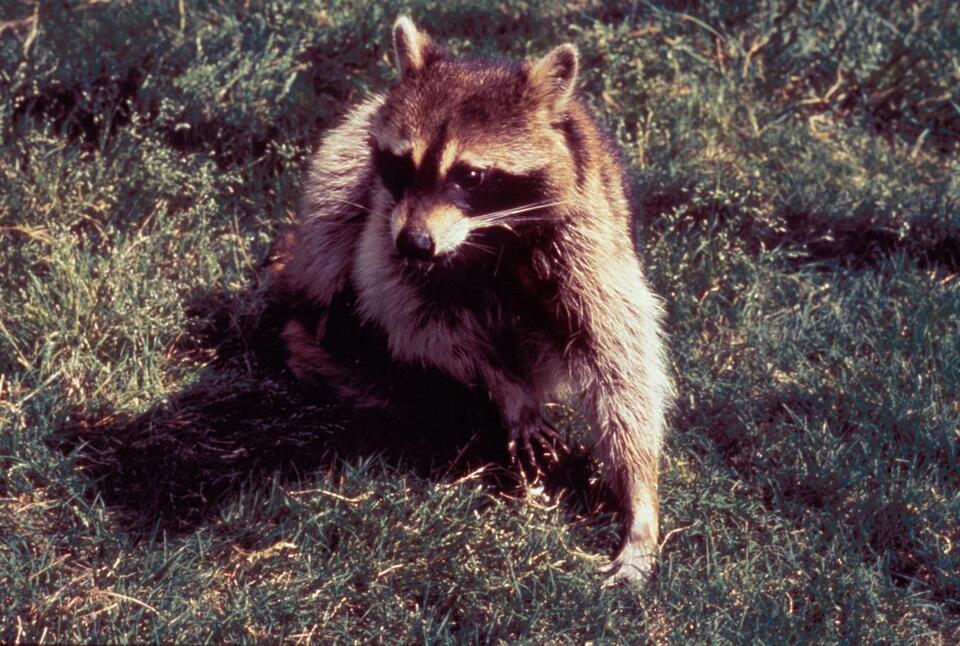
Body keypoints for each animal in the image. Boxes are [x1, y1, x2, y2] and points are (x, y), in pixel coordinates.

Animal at [269, 17, 674, 584]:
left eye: (472, 176)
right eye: (402, 164)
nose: (416, 244)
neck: (482, 236)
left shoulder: (586, 239)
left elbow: (620, 360)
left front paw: (639, 495)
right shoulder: (385, 227)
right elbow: (412, 318)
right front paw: (504, 385)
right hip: (346, 169)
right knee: (333, 209)